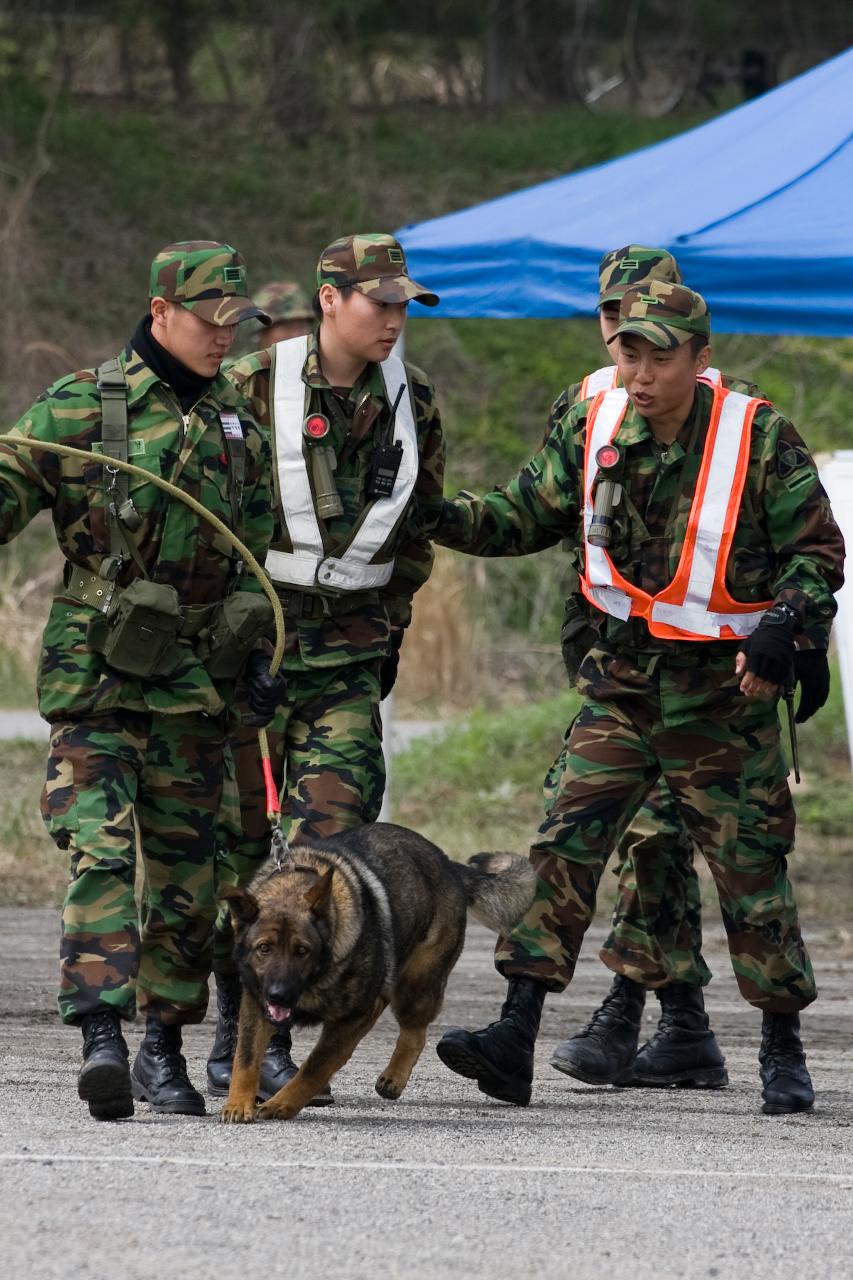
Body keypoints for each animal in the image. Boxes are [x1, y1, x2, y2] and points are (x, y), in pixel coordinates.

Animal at [219, 824, 532, 1116]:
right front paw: (238, 1104)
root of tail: (448, 865)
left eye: (302, 950)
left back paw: (394, 1077)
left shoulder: (350, 1018)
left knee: (414, 1033)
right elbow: (245, 1057)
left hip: (415, 987)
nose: (279, 995)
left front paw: (281, 1104)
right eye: (264, 948)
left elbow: (314, 1068)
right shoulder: (256, 1004)